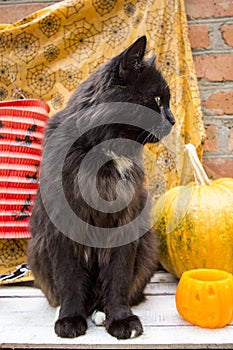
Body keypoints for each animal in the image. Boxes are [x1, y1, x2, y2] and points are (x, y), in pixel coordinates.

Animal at [27, 35, 175, 340]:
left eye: (167, 101)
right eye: (157, 100)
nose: (173, 120)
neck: (104, 153)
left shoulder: (124, 225)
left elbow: (117, 280)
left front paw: (121, 320)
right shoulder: (61, 229)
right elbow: (70, 279)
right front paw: (70, 319)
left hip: (147, 246)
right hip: (36, 248)